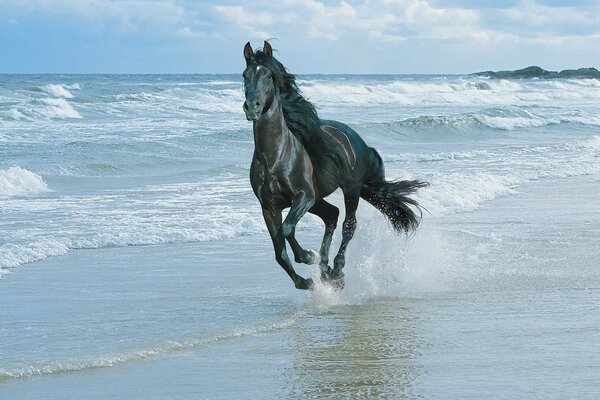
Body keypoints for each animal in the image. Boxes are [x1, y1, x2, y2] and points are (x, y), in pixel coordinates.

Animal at [241, 41, 428, 290]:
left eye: (269, 75)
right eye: (245, 75)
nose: (252, 107)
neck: (275, 157)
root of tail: (358, 140)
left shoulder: (304, 196)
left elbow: (288, 229)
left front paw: (308, 256)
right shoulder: (269, 207)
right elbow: (279, 252)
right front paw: (306, 281)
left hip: (350, 189)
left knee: (349, 224)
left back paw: (336, 269)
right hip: (319, 199)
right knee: (332, 215)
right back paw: (325, 270)